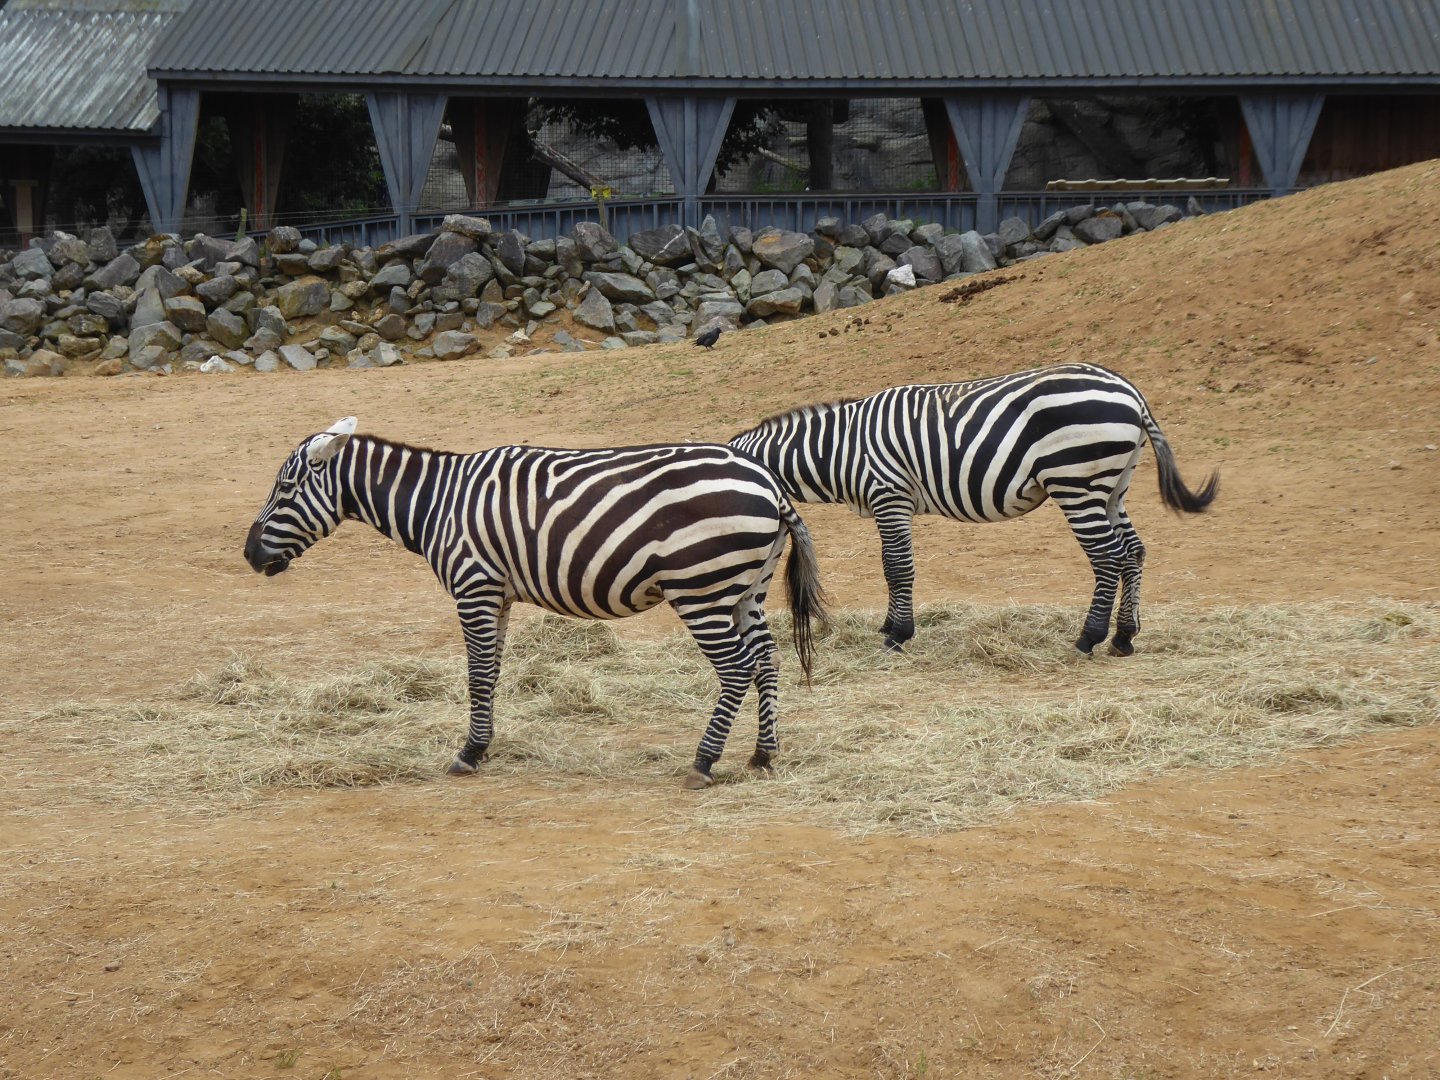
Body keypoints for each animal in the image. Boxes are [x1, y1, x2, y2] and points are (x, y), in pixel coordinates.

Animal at [244, 418, 829, 790]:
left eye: (285, 487)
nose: (249, 555)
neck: (437, 503)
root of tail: (769, 483)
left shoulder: (474, 584)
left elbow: (478, 671)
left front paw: (469, 753)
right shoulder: (496, 593)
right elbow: (493, 671)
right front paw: (483, 745)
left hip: (700, 586)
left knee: (736, 669)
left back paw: (704, 763)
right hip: (745, 587)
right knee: (767, 660)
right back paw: (762, 755)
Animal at [729, 362, 1217, 657]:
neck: (839, 451)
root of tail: (1130, 391)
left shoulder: (890, 495)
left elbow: (896, 567)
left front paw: (897, 635)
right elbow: (892, 567)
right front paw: (890, 626)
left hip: (1076, 482)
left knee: (1108, 558)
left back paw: (1089, 637)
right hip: (1112, 486)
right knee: (1133, 552)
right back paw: (1124, 637)